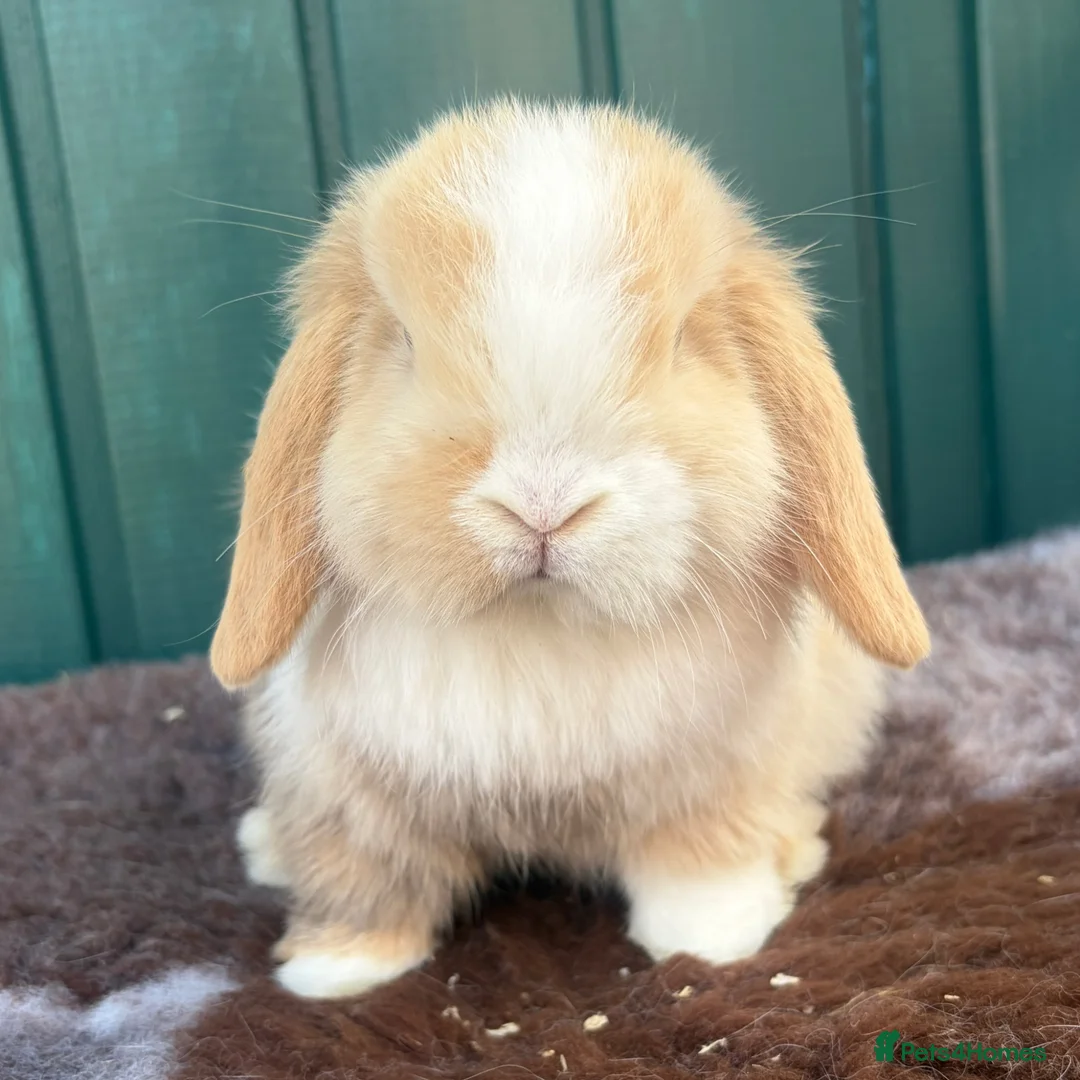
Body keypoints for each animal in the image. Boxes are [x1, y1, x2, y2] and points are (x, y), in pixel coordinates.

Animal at [210, 100, 929, 1000]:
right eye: (401, 340)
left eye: (684, 340)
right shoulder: (347, 790)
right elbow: (368, 876)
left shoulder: (714, 770)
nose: (542, 506)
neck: (541, 626)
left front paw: (713, 939)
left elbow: (700, 858)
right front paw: (337, 972)